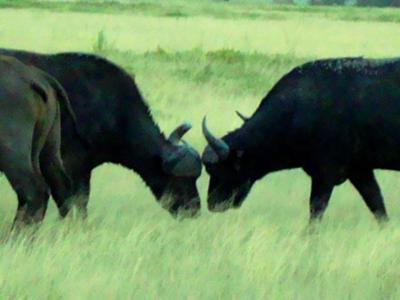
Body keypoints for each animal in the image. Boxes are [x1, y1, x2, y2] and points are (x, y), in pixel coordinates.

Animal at [202, 56, 400, 223]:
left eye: (223, 168)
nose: (212, 204)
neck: (297, 111)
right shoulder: (359, 170)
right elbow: (377, 204)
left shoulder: (324, 175)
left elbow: (316, 210)